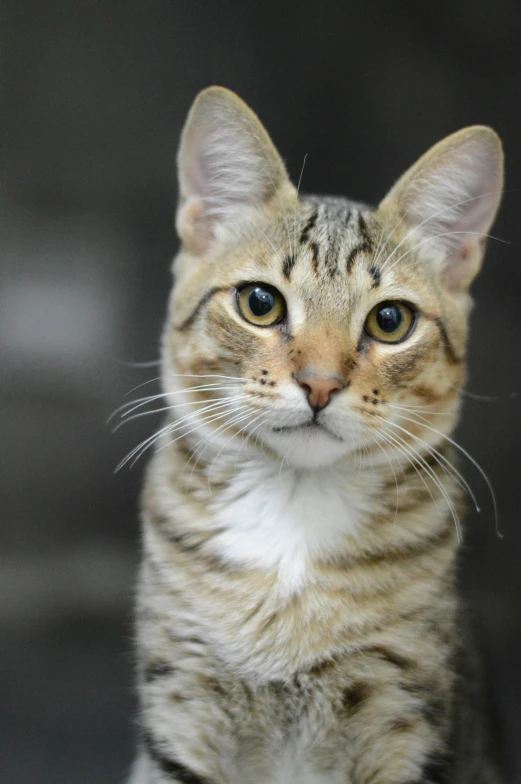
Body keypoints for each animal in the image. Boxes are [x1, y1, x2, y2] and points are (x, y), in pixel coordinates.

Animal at [126, 86, 504, 784]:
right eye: (260, 303)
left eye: (390, 320)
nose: (321, 383)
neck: (294, 513)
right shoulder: (183, 697)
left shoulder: (400, 706)